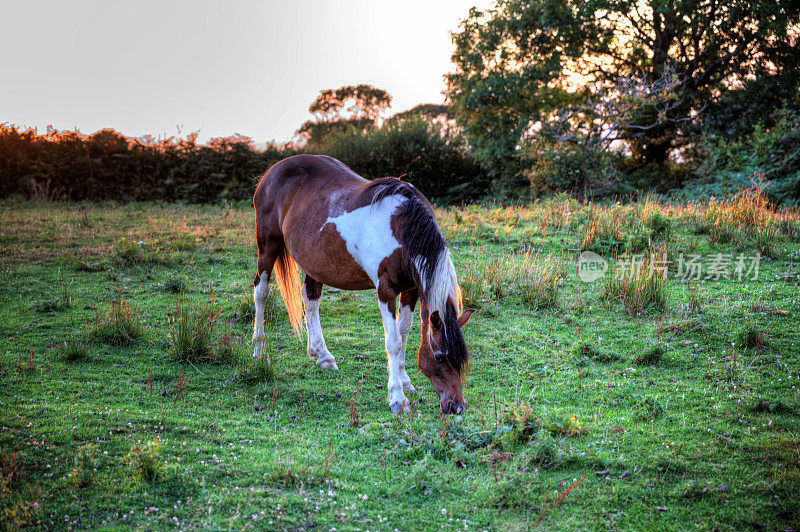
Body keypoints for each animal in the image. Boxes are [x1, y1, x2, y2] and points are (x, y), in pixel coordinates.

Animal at [253, 154, 472, 416]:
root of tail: (271, 172)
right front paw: (397, 398)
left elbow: (404, 334)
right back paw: (258, 351)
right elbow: (393, 342)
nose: (455, 406)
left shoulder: (411, 290)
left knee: (311, 298)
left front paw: (405, 380)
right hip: (268, 247)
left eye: (461, 358)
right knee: (261, 292)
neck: (402, 228)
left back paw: (321, 354)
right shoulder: (385, 291)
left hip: (315, 261)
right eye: (439, 357)